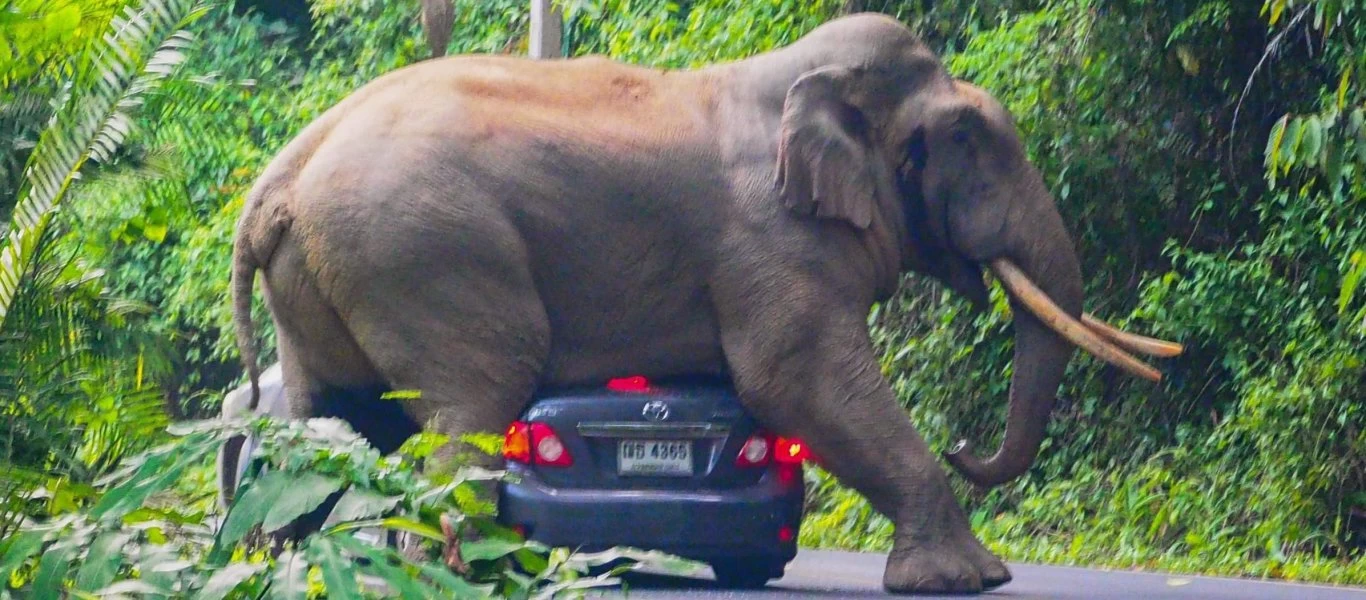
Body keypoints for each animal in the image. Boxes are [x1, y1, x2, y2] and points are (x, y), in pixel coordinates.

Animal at [229, 11, 1180, 593]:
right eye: (968, 139)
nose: (966, 444)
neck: (798, 79)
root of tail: (278, 179)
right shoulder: (770, 241)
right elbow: (796, 381)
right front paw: (970, 580)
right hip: (426, 255)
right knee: (472, 401)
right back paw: (456, 576)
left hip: (329, 277)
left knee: (333, 420)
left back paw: (296, 567)